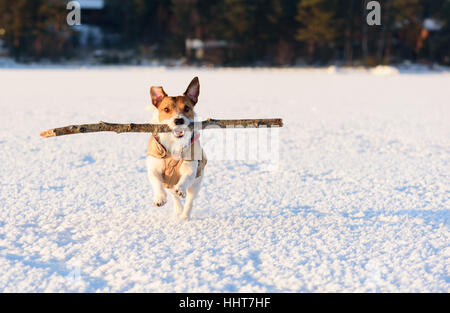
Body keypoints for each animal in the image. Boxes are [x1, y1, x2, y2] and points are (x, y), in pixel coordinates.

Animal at [147, 77, 207, 219]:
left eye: (187, 108)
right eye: (166, 109)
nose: (179, 120)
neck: (173, 142)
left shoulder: (190, 167)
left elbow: (186, 177)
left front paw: (180, 189)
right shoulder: (154, 167)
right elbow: (156, 181)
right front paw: (159, 198)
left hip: (196, 183)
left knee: (190, 200)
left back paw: (184, 217)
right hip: (169, 184)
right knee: (174, 197)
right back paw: (178, 210)